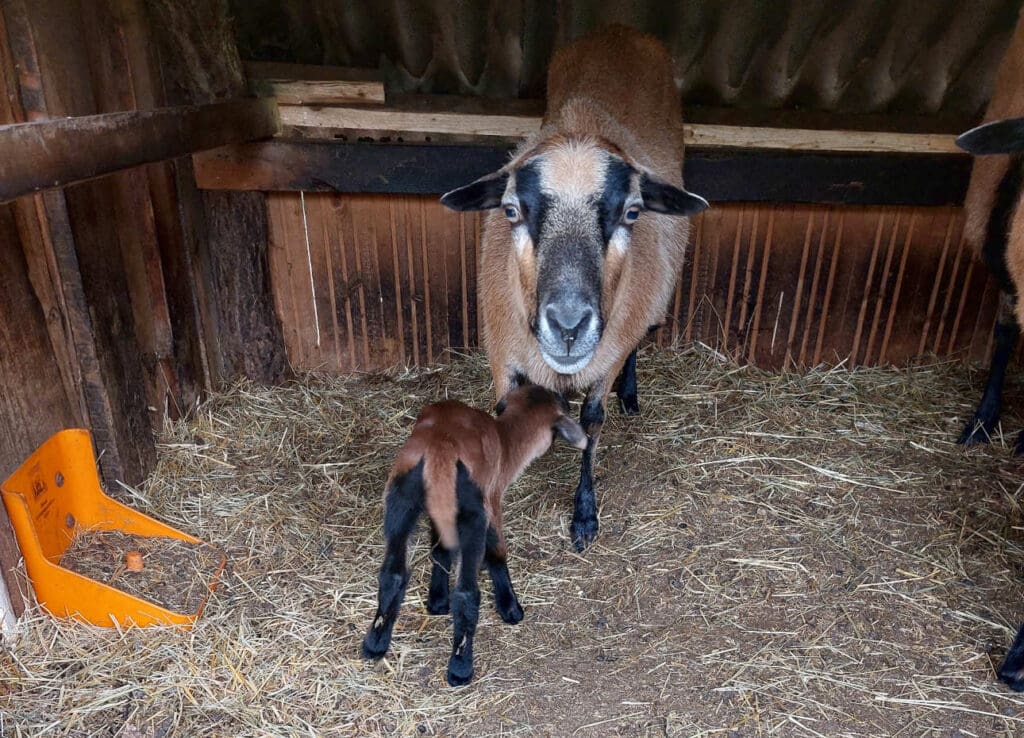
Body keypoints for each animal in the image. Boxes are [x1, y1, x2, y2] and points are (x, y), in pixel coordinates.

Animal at [360, 384, 585, 683]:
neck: (506, 440)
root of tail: (440, 447)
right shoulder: (493, 499)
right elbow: (497, 553)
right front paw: (510, 607)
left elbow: (440, 549)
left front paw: (437, 601)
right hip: (472, 515)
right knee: (467, 592)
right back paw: (460, 666)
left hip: (401, 498)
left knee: (392, 574)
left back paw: (376, 643)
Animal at [436, 24, 708, 548]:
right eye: (511, 210)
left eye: (632, 212)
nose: (567, 326)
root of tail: (620, 30)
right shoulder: (502, 351)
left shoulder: (606, 356)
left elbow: (592, 422)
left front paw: (584, 514)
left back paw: (630, 395)